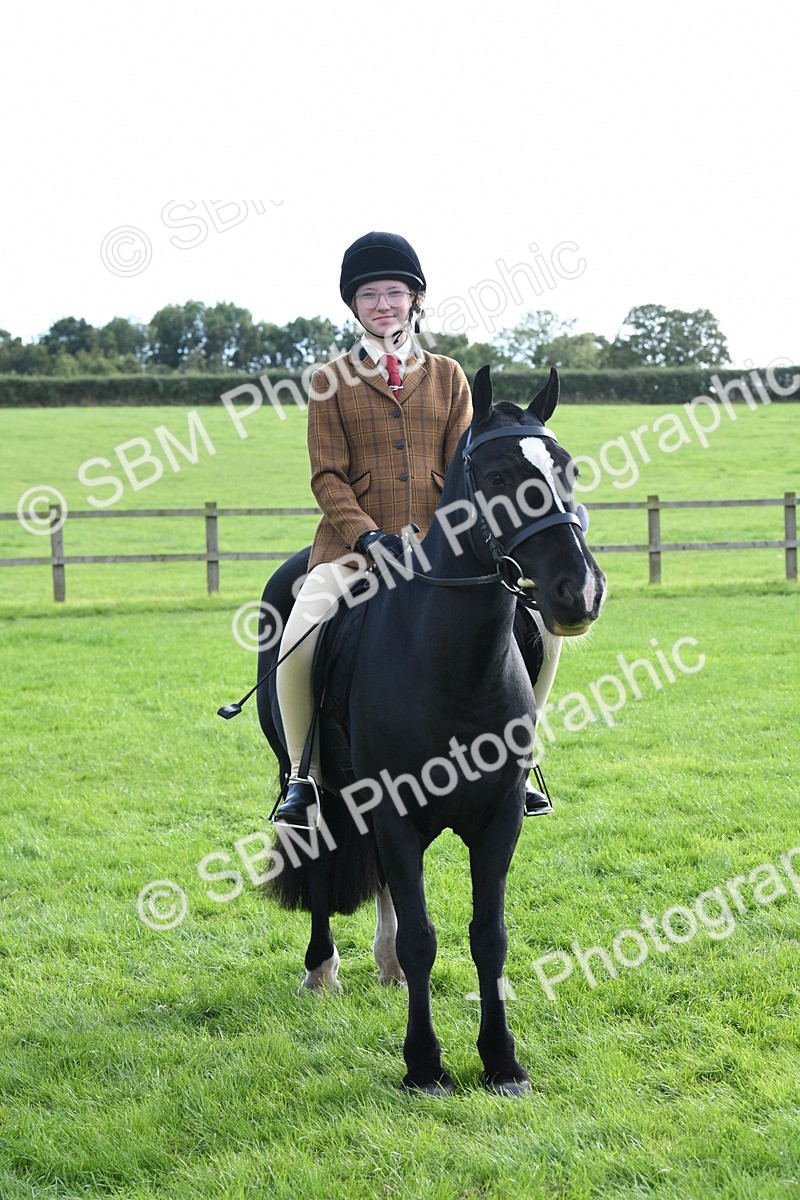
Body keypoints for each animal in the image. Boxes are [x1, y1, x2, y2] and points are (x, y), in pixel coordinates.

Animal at [254, 365, 606, 1095]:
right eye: (496, 475)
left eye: (567, 468)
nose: (578, 592)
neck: (453, 664)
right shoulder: (392, 809)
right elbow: (423, 936)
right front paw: (423, 1065)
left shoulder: (499, 816)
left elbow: (488, 935)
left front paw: (501, 1060)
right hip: (316, 786)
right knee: (321, 859)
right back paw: (321, 969)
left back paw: (383, 965)